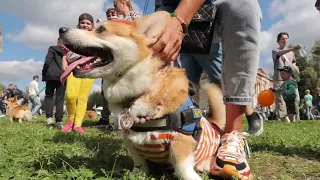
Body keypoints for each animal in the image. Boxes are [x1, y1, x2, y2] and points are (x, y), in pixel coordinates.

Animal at [58, 11, 226, 180]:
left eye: (101, 30)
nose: (61, 29)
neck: (140, 92)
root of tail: (215, 126)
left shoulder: (181, 141)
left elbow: (181, 167)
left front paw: (191, 177)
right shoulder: (130, 141)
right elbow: (139, 163)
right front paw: (135, 174)